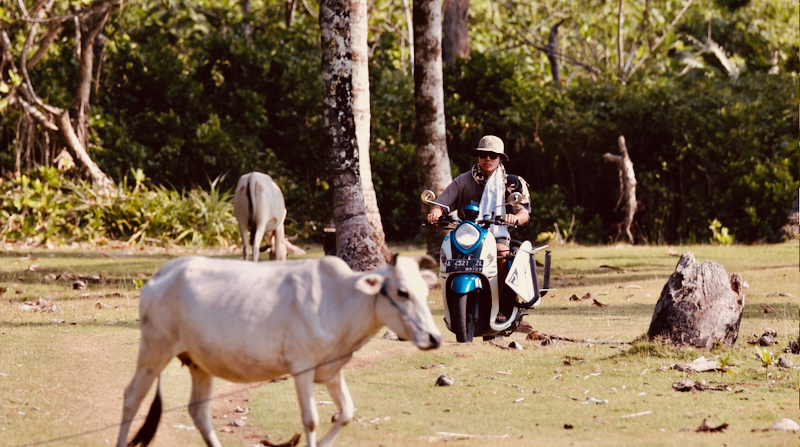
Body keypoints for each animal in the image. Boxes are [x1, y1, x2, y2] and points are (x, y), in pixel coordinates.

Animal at [116, 254, 440, 446]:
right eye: (402, 292)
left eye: (424, 292)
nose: (434, 338)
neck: (342, 299)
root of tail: (160, 274)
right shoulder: (302, 368)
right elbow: (311, 420)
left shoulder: (331, 370)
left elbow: (346, 412)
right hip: (154, 350)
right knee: (132, 398)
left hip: (200, 364)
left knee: (199, 412)